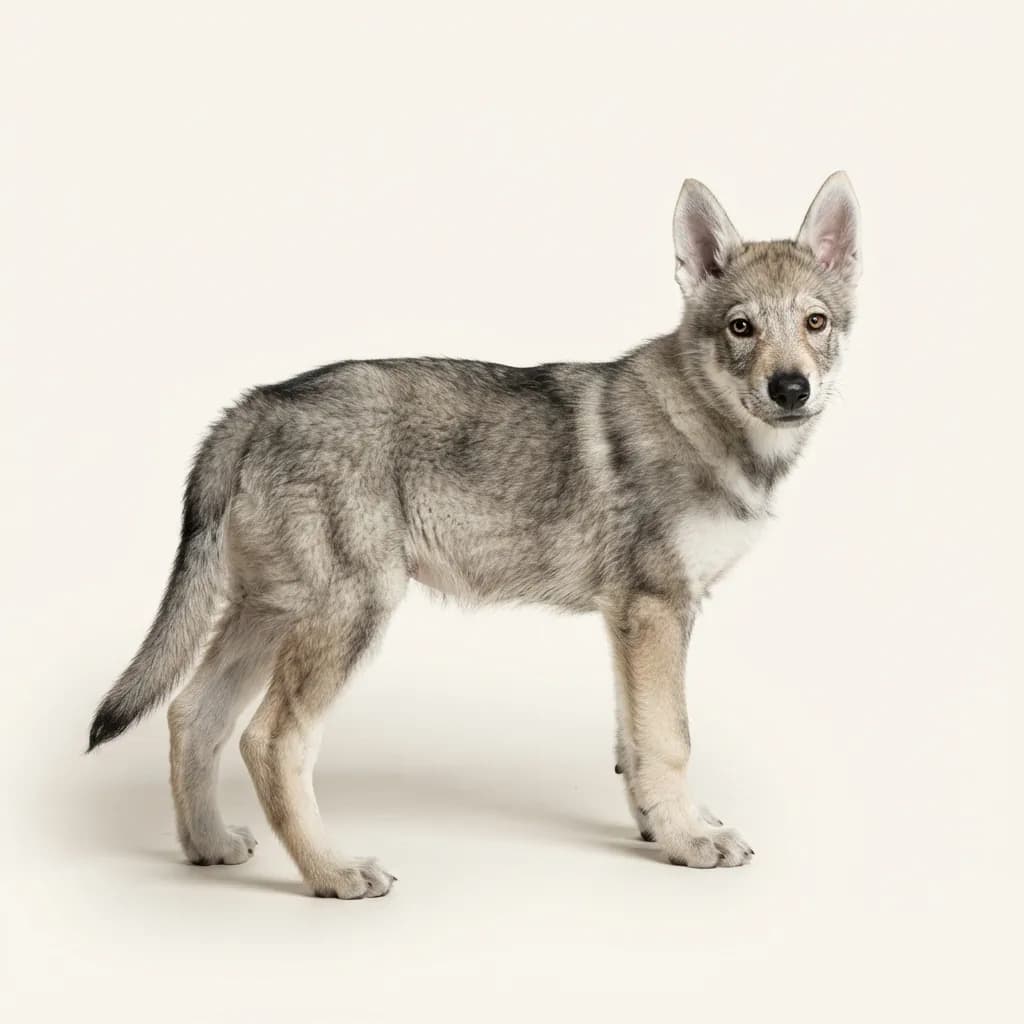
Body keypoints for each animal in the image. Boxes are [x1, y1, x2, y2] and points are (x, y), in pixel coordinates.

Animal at [88, 173, 860, 898]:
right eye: (741, 327)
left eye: (815, 321)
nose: (791, 389)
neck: (705, 423)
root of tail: (256, 404)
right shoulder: (656, 610)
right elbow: (671, 739)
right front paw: (689, 840)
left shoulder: (632, 620)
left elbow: (633, 742)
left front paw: (659, 826)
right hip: (348, 615)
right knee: (268, 741)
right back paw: (333, 873)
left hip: (270, 614)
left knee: (191, 714)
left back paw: (208, 845)